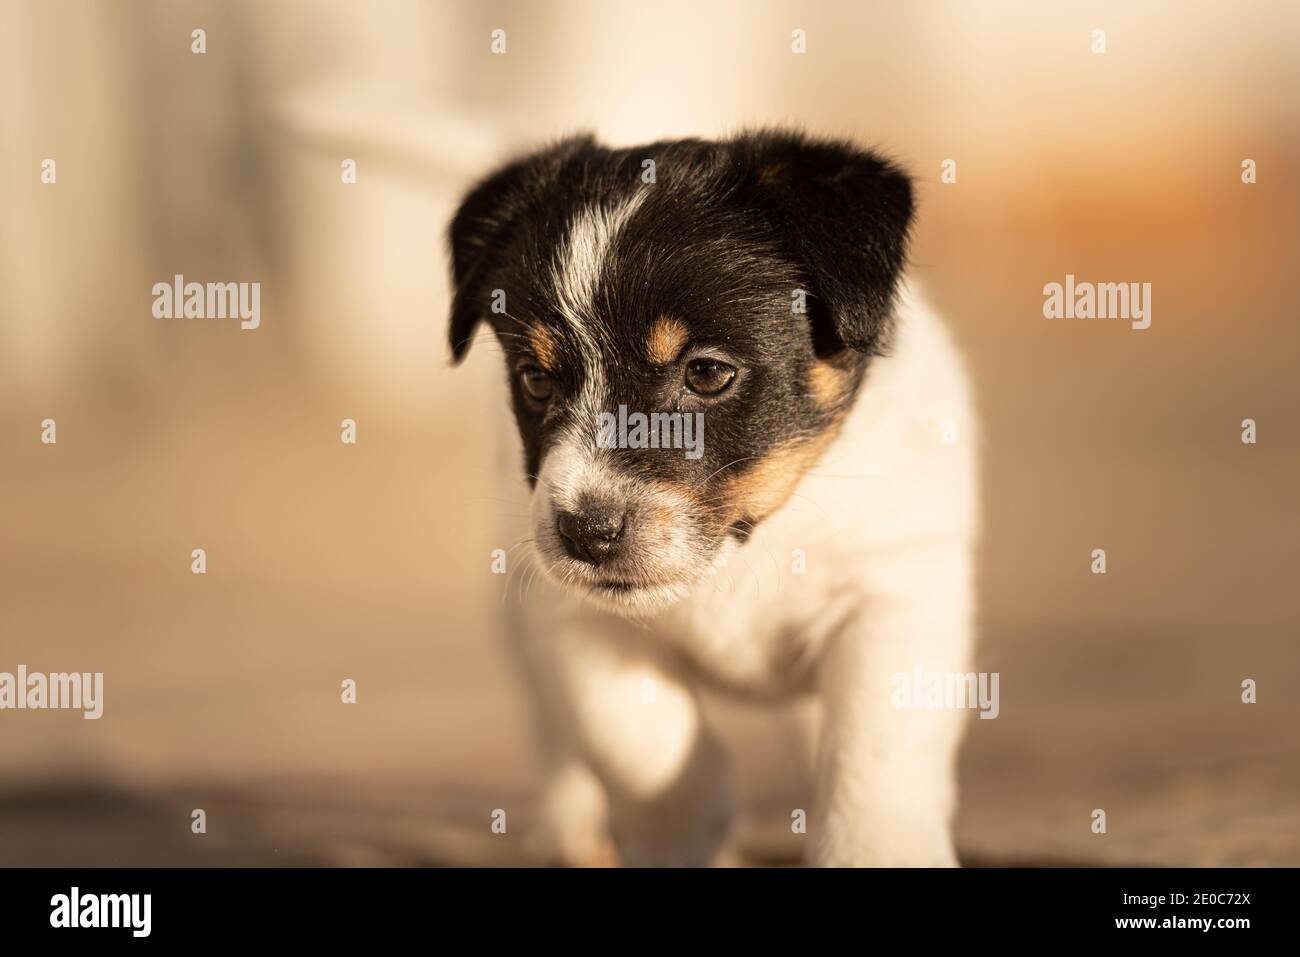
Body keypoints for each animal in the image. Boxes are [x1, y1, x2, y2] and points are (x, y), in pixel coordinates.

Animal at [447, 128, 977, 868]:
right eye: (535, 380)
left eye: (705, 372)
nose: (586, 533)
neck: (749, 545)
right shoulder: (576, 624)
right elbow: (640, 742)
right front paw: (684, 836)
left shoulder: (891, 591)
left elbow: (874, 755)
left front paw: (875, 851)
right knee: (556, 737)